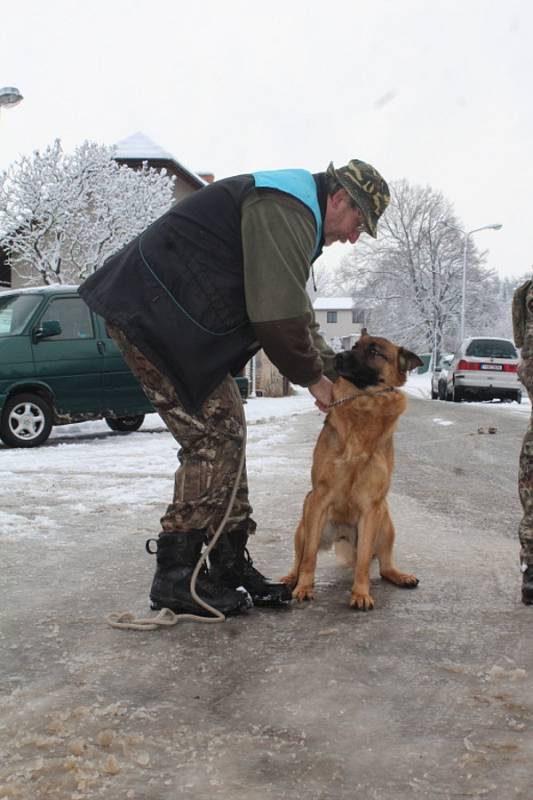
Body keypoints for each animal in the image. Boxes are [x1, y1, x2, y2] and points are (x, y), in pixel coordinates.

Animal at [280, 332, 422, 612]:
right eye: (355, 346)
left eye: (375, 352)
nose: (338, 356)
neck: (364, 401)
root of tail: (343, 534)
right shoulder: (320, 496)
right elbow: (309, 558)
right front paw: (304, 587)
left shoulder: (371, 506)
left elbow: (365, 562)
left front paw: (360, 593)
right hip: (307, 519)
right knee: (300, 558)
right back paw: (291, 579)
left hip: (385, 521)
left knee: (384, 566)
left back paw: (400, 575)